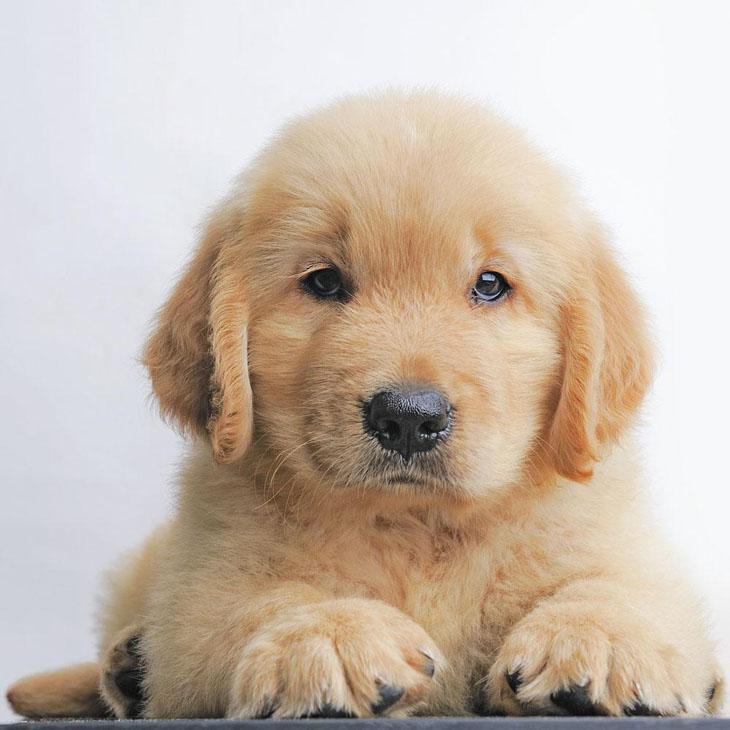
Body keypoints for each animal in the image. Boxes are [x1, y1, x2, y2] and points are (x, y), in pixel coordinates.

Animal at [7, 89, 724, 716]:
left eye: (491, 285)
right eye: (324, 282)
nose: (408, 417)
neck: (416, 525)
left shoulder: (618, 541)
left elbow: (621, 585)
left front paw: (601, 638)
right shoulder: (202, 593)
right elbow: (260, 599)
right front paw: (328, 633)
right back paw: (126, 667)